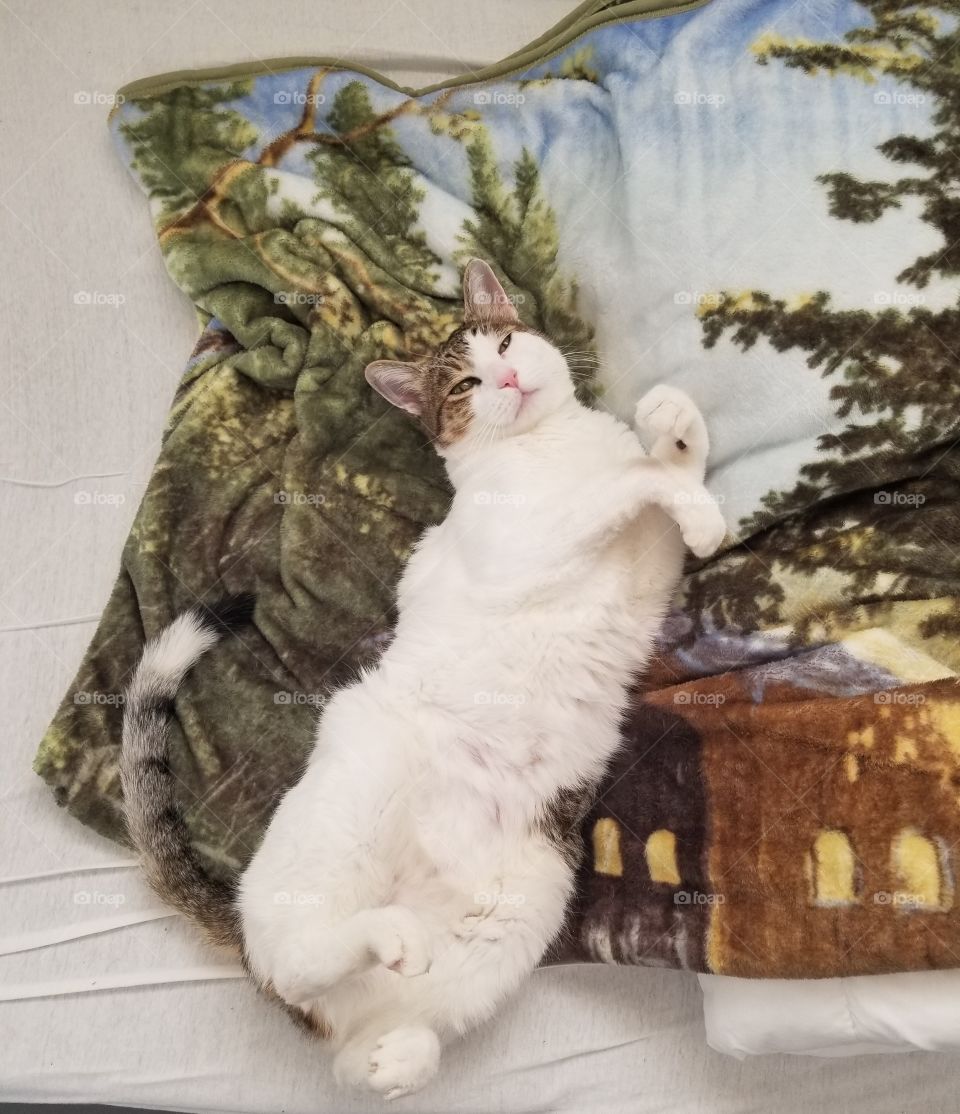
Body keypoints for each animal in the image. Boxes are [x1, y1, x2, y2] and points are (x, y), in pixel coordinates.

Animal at [120, 258, 726, 1096]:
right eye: (467, 384)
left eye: (503, 343)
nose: (508, 376)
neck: (550, 443)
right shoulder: (528, 544)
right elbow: (627, 483)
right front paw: (667, 460)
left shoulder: (646, 572)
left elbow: (669, 480)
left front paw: (678, 434)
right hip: (342, 841)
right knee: (299, 962)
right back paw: (384, 934)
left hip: (521, 907)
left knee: (361, 1053)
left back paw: (398, 1051)